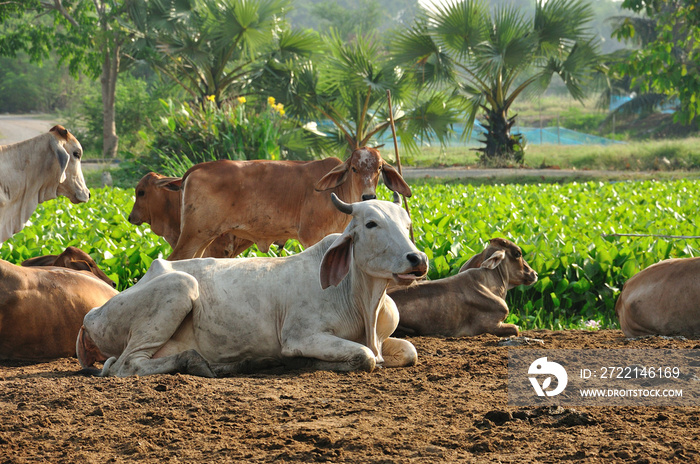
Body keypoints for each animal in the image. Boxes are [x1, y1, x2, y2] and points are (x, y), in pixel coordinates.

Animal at [76, 195, 426, 376]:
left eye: (408, 224)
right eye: (371, 224)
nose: (418, 258)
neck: (363, 300)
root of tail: (91, 315)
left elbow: (408, 352)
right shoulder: (301, 336)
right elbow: (366, 357)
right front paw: (304, 362)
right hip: (178, 286)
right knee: (126, 365)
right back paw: (198, 362)